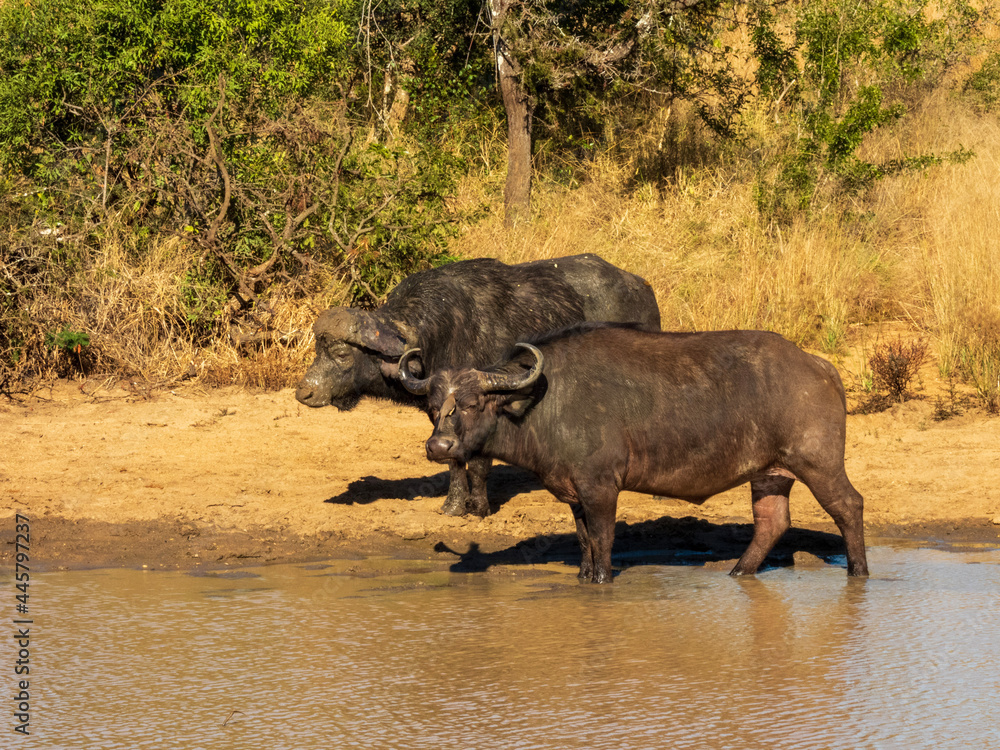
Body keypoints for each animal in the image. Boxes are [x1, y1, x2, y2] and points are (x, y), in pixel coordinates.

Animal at [295, 255, 660, 516]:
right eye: (318, 350)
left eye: (341, 353)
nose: (304, 392)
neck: (439, 333)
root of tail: (641, 287)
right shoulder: (440, 410)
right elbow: (454, 460)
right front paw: (454, 506)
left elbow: (481, 461)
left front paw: (479, 507)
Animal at [398, 324, 868, 582]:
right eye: (434, 406)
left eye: (472, 404)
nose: (438, 446)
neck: (545, 403)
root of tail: (819, 366)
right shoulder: (575, 495)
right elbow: (584, 541)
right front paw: (585, 577)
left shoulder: (602, 488)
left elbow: (604, 540)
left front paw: (602, 580)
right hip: (770, 473)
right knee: (772, 522)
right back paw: (738, 572)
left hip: (817, 462)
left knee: (849, 505)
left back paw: (859, 571)